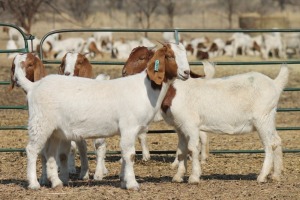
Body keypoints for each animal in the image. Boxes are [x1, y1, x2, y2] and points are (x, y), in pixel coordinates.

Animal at [12, 41, 191, 189]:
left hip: (54, 130)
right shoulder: (129, 127)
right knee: (32, 149)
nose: (186, 72)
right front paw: (132, 184)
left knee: (50, 153)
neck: (145, 88)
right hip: (40, 124)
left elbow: (125, 154)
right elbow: (130, 155)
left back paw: (56, 183)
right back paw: (34, 184)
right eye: (169, 56)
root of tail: (34, 86)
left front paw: (124, 181)